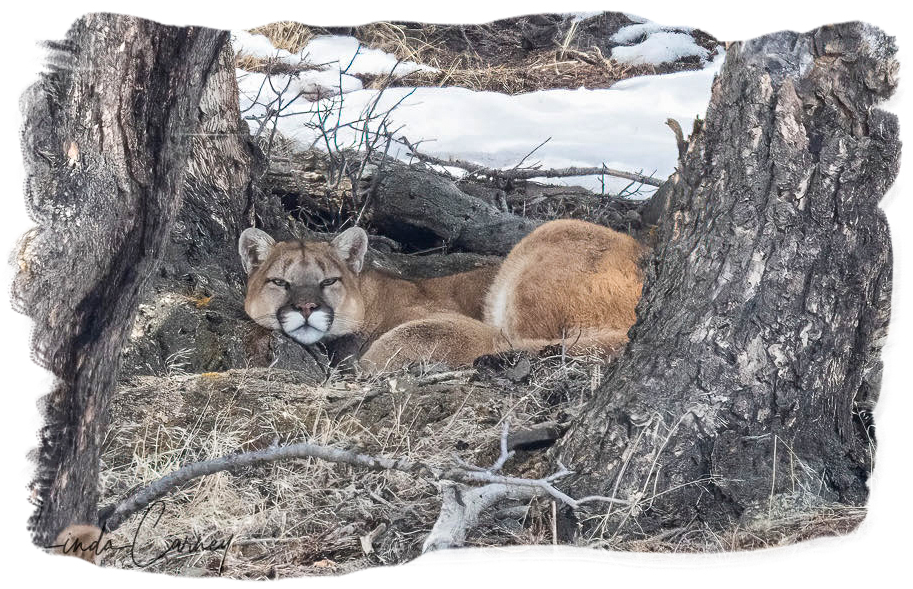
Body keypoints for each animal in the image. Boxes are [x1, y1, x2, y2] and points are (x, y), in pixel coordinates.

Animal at [239, 218, 644, 370]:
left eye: (328, 282)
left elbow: (397, 341)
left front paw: (364, 369)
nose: (306, 306)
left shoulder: (468, 327)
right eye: (280, 282)